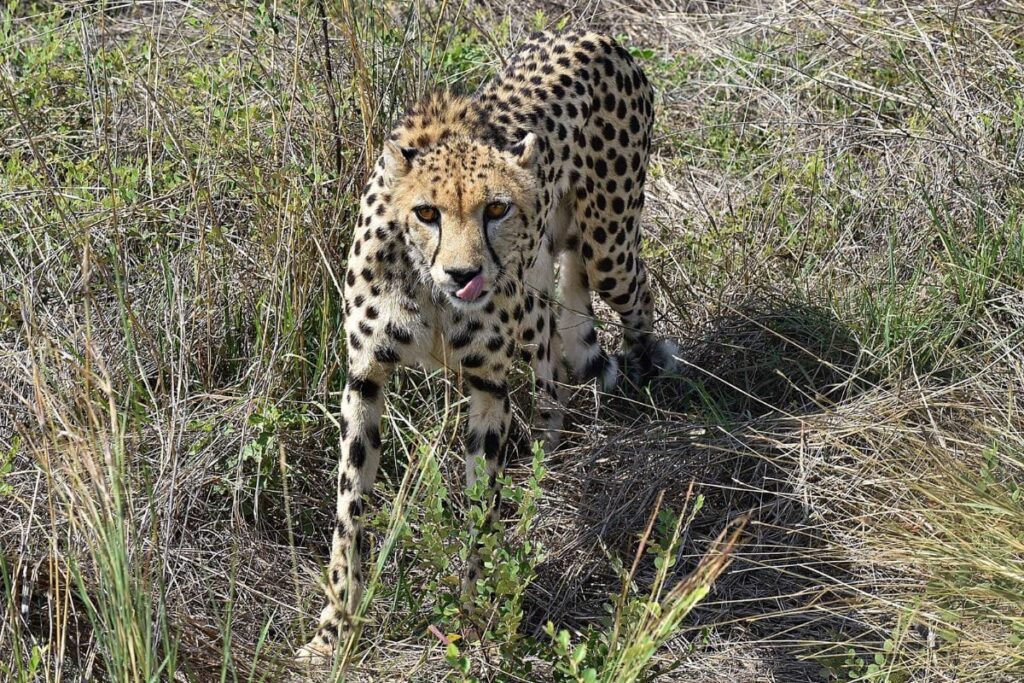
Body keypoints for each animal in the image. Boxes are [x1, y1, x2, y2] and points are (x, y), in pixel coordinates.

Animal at [298, 28, 677, 662]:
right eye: (426, 213)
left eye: (496, 208)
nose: (464, 274)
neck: (428, 290)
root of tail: (592, 32)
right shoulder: (365, 377)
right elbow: (350, 514)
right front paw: (334, 632)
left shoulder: (488, 385)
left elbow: (480, 511)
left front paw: (474, 618)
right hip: (550, 276)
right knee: (555, 351)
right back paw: (548, 456)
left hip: (609, 247)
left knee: (635, 299)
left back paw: (649, 384)